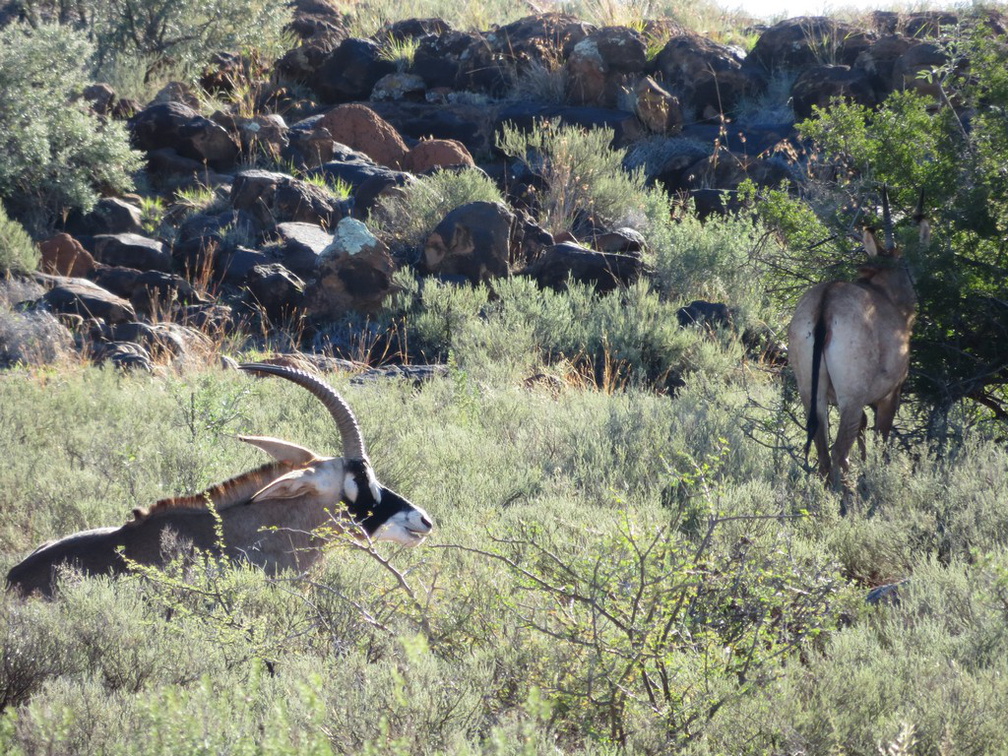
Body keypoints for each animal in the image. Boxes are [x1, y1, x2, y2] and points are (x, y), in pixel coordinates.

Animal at [786, 189, 927, 491]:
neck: (885, 294)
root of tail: (826, 303)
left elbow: (862, 430)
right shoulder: (890, 394)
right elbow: (881, 437)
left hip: (811, 393)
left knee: (823, 447)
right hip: (851, 396)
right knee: (838, 449)